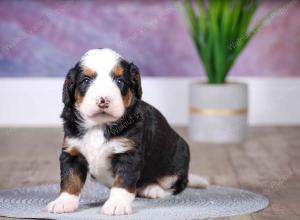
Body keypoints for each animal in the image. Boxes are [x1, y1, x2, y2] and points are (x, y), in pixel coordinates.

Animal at [47, 49, 209, 216]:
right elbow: (70, 179)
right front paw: (64, 202)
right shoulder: (72, 152)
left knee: (175, 186)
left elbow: (123, 182)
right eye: (86, 81)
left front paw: (116, 204)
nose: (103, 100)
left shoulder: (129, 154)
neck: (99, 125)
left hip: (177, 162)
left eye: (120, 81)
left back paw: (153, 189)